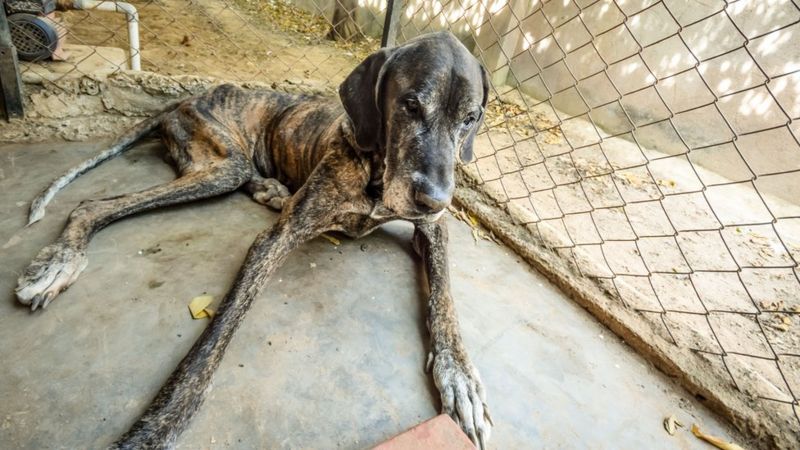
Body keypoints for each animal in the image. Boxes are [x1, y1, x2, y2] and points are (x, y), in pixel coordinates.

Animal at [17, 30, 494, 446]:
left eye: (470, 119)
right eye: (410, 104)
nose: (434, 199)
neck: (376, 175)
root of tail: (187, 98)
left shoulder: (435, 231)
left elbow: (446, 300)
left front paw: (460, 376)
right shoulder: (275, 240)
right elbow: (218, 333)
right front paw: (160, 422)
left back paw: (272, 190)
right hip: (221, 166)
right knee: (90, 205)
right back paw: (59, 261)